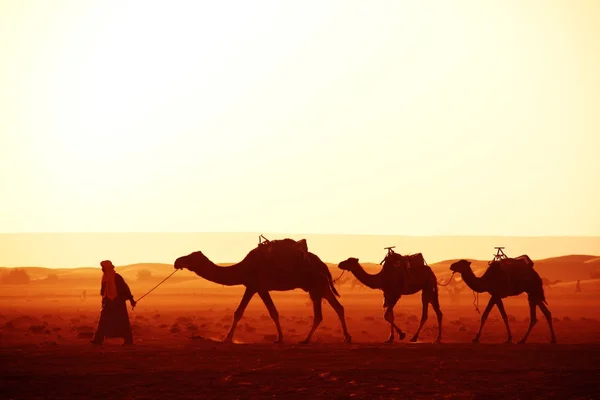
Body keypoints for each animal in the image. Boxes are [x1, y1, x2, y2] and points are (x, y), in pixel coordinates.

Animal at [173, 238, 352, 344]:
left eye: (190, 257)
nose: (176, 261)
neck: (243, 268)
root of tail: (323, 266)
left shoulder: (256, 286)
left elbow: (261, 312)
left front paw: (228, 338)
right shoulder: (254, 287)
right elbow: (254, 312)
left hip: (316, 286)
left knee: (321, 314)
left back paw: (307, 339)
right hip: (321, 287)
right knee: (338, 308)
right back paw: (345, 337)